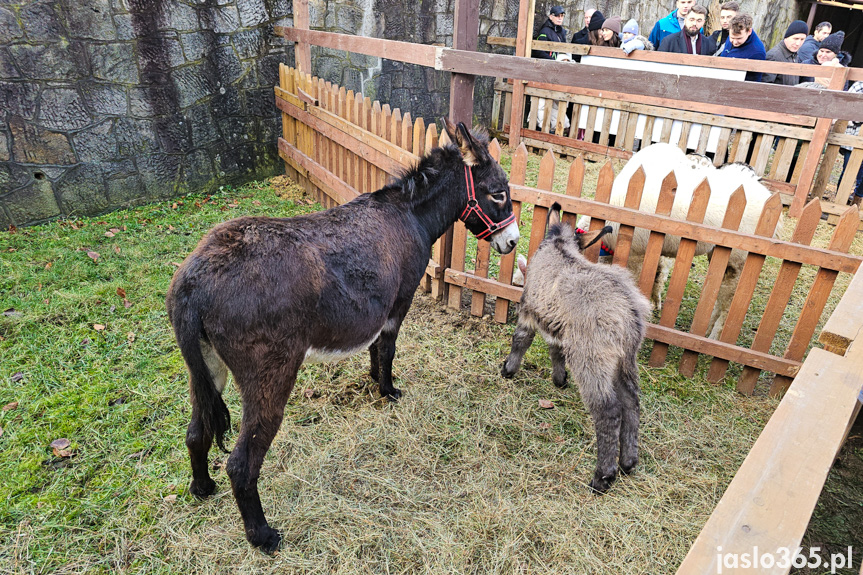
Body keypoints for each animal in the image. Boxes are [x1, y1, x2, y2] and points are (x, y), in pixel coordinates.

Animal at [502, 204, 652, 496]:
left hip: (591, 358)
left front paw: (508, 370)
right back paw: (628, 462)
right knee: (632, 403)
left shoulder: (529, 309)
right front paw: (559, 380)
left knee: (609, 411)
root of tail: (628, 312)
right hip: (625, 360)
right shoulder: (556, 323)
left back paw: (603, 477)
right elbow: (555, 350)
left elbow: (521, 339)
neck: (560, 245)